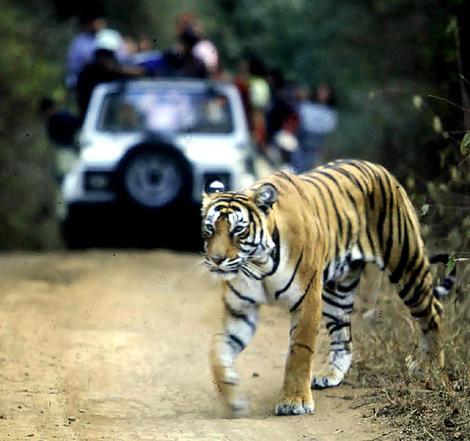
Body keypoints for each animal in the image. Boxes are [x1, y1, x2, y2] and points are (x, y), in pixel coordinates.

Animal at [201, 159, 456, 416]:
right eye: (210, 229)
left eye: (238, 230)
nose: (216, 259)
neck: (258, 264)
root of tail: (378, 167)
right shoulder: (240, 310)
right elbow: (217, 352)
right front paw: (234, 399)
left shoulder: (307, 300)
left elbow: (299, 351)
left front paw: (294, 401)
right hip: (337, 291)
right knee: (343, 336)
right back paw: (331, 374)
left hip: (406, 264)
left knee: (434, 311)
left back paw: (430, 365)